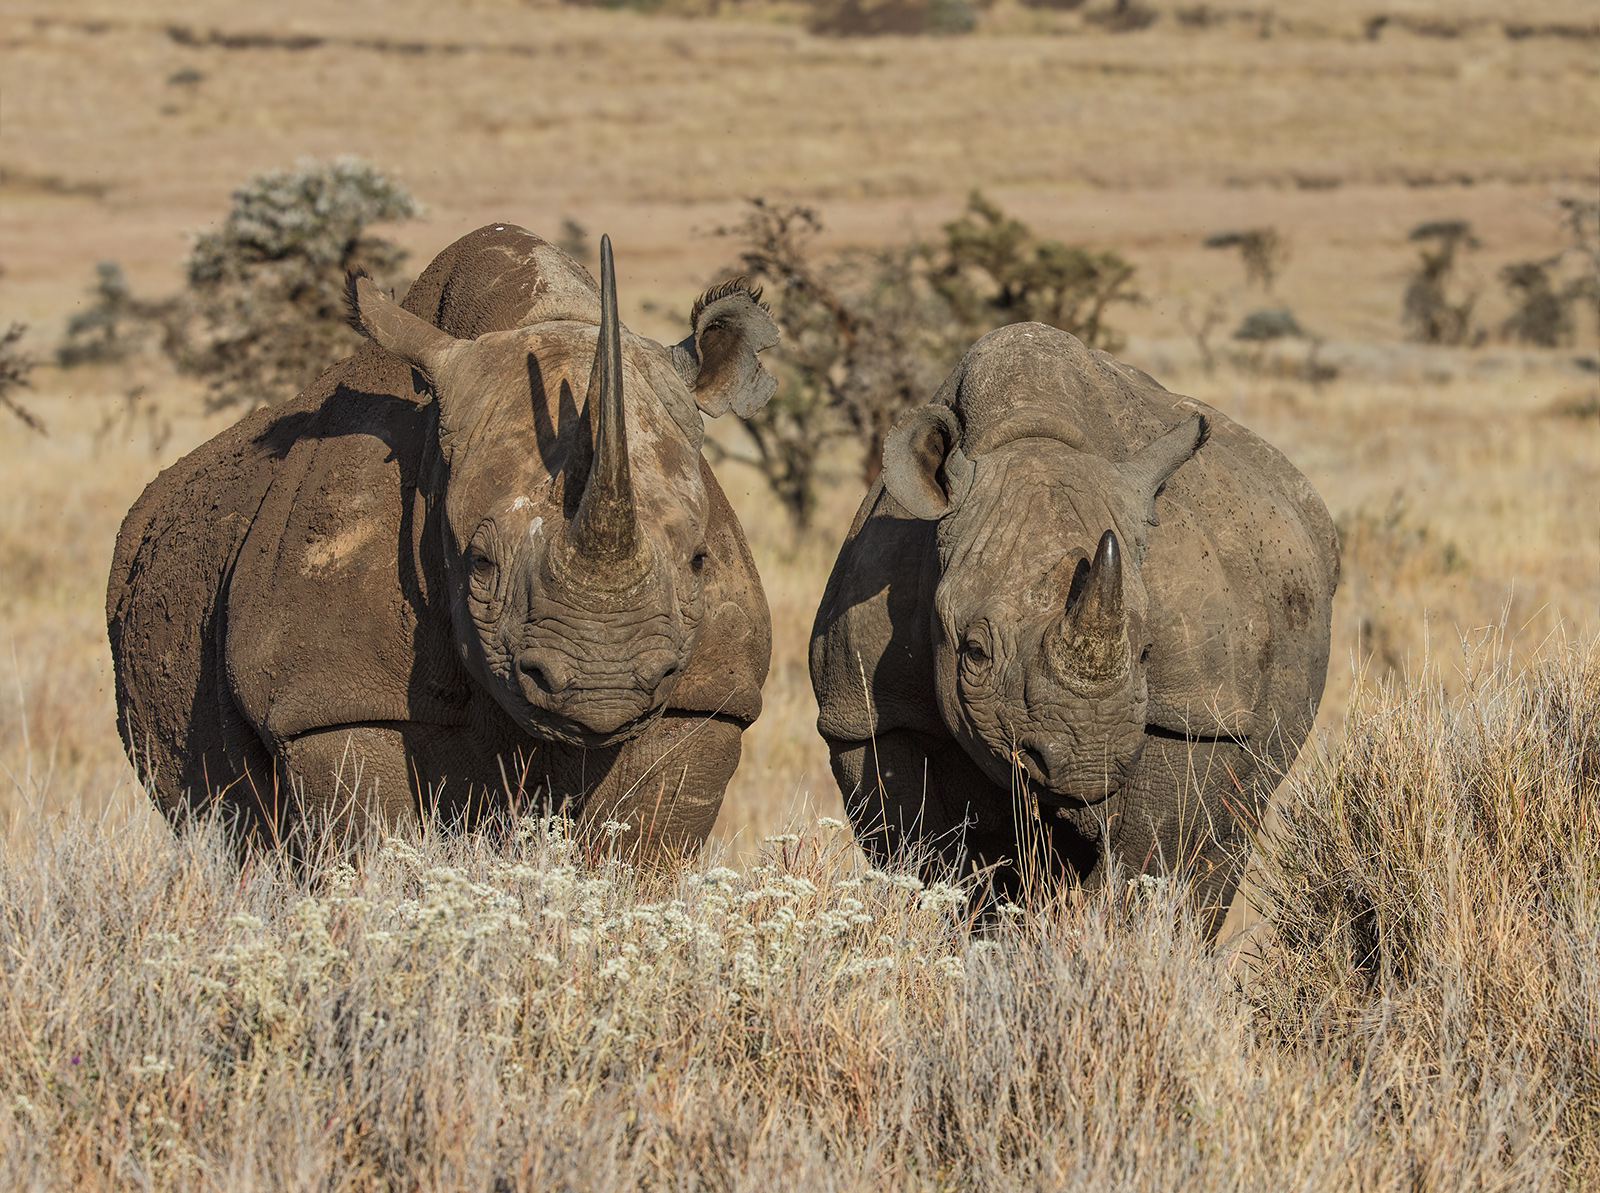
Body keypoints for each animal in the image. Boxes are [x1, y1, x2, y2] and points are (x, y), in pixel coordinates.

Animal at [109, 225, 779, 854]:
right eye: (478, 564)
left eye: (699, 561)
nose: (602, 685)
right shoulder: (323, 701)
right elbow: (371, 841)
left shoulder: (704, 697)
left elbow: (642, 849)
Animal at [810, 323, 1338, 931]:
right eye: (974, 652)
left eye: (1147, 652)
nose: (1087, 762)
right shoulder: (865, 713)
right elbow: (924, 858)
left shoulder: (1201, 713)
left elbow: (1153, 862)